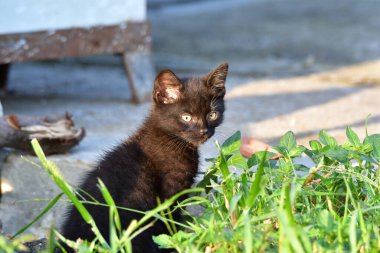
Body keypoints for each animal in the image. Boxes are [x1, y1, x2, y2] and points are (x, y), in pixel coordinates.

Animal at [58, 62, 226, 251]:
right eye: (186, 117)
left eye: (212, 115)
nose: (204, 131)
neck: (170, 140)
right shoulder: (171, 192)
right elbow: (171, 222)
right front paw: (175, 242)